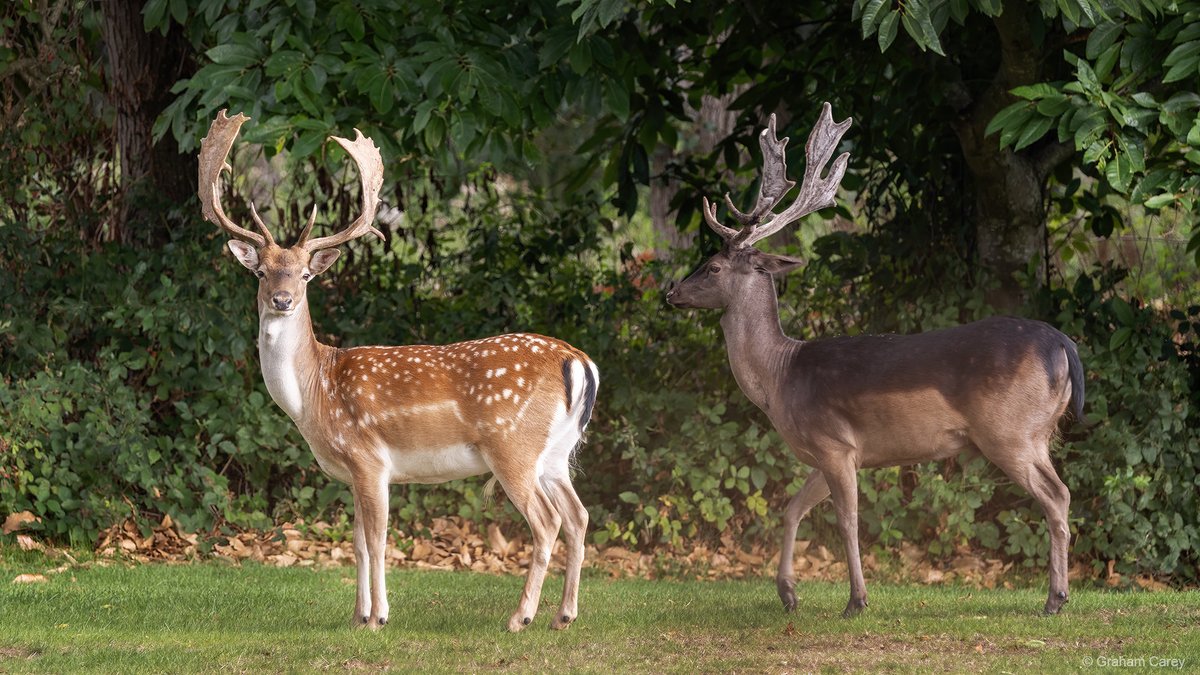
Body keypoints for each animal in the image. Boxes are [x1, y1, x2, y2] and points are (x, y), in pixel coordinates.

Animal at [198, 110, 599, 632]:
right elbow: (356, 543)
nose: (282, 300)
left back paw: (521, 618)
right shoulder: (351, 472)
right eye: (261, 272)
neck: (314, 394)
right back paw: (563, 616)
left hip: (512, 445)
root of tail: (579, 362)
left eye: (305, 275)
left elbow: (378, 540)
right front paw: (356, 615)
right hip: (554, 453)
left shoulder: (369, 458)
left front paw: (379, 617)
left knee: (547, 521)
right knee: (579, 515)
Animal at [665, 103, 1083, 619]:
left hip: (1009, 431)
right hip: (1037, 433)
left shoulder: (836, 444)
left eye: (714, 266)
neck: (778, 378)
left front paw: (856, 600)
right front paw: (788, 593)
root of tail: (1064, 345)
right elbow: (791, 508)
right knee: (1062, 492)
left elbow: (847, 521)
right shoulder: (829, 451)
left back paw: (1054, 598)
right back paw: (1058, 595)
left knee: (1056, 495)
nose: (671, 293)